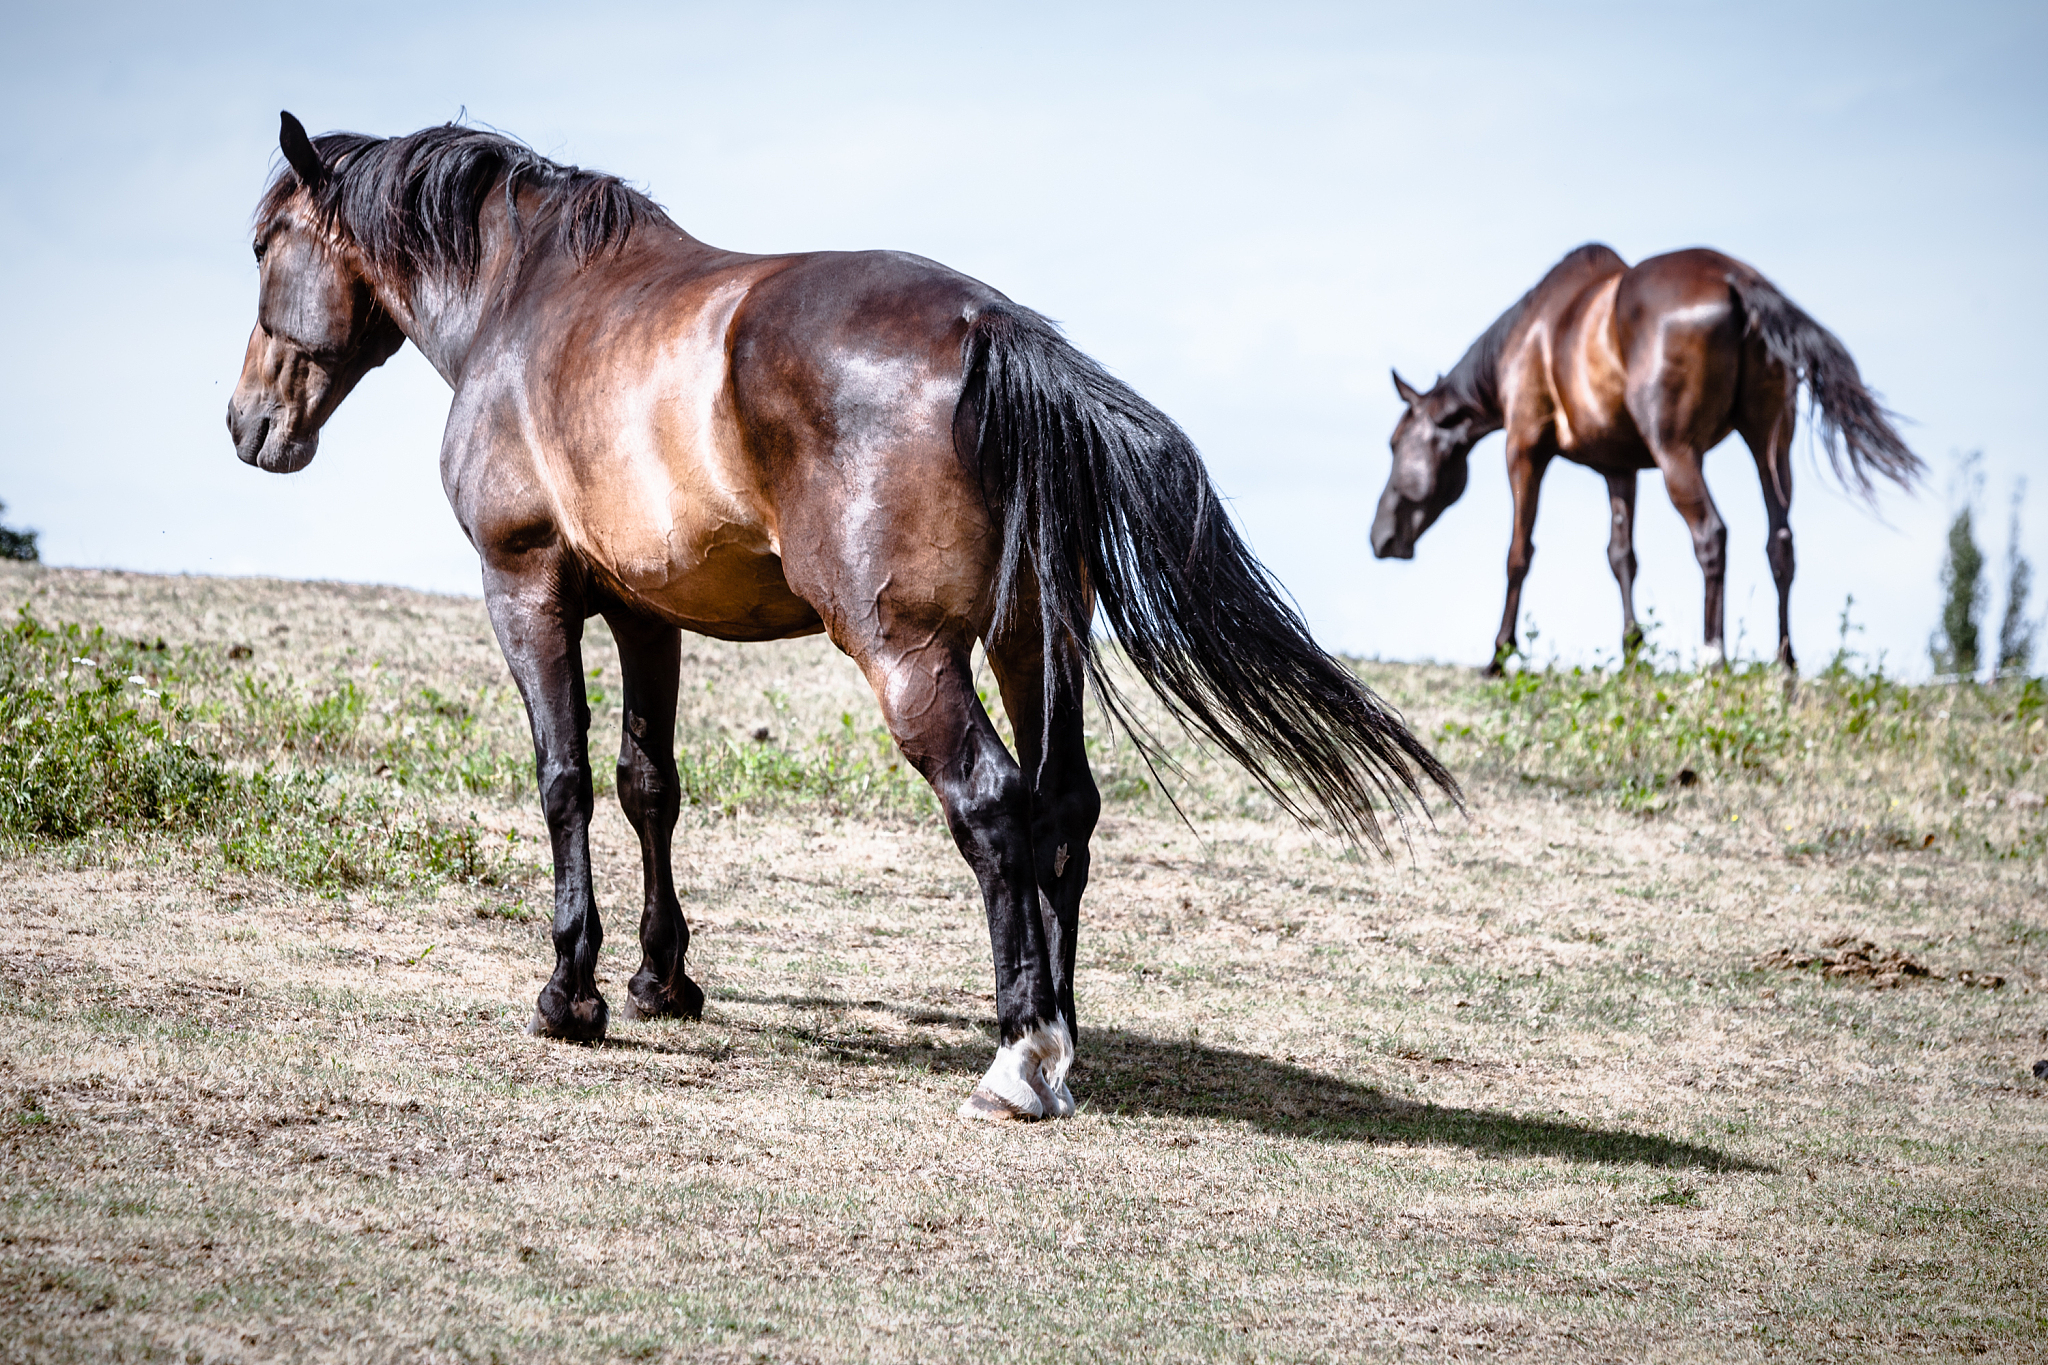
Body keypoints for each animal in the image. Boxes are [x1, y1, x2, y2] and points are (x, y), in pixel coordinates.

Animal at [228, 113, 1455, 1122]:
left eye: (262, 244)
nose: (248, 424)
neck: (525, 306)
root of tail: (992, 330)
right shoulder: (647, 613)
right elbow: (648, 784)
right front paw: (662, 978)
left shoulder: (526, 585)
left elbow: (563, 778)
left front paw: (570, 992)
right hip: (1033, 638)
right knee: (1063, 807)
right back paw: (1060, 1040)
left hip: (911, 656)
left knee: (994, 805)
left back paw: (1019, 1060)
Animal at [1370, 244, 1921, 673]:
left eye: (1395, 444)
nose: (1379, 538)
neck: (1532, 336)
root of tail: (1736, 279)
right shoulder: (1620, 468)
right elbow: (1622, 557)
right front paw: (1633, 658)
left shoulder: (1524, 448)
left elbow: (1518, 554)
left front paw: (1499, 657)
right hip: (1770, 443)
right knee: (1779, 542)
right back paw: (1784, 667)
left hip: (1678, 452)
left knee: (1711, 535)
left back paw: (1712, 662)